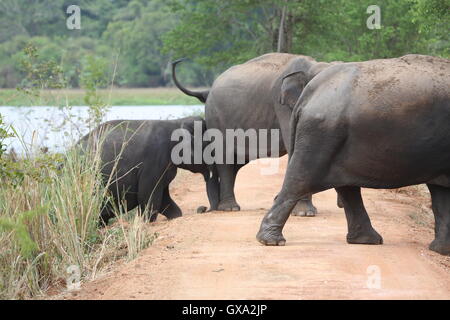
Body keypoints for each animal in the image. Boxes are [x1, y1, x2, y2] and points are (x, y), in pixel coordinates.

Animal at [79, 115, 220, 225]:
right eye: (210, 150)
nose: (203, 208)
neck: (176, 123)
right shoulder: (153, 163)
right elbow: (148, 199)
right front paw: (146, 223)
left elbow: (164, 201)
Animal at [171, 53, 340, 216]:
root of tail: (209, 90)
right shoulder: (283, 106)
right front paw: (304, 213)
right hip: (216, 117)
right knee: (224, 158)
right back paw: (229, 208)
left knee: (234, 163)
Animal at [256, 54, 450, 255]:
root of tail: (311, 92)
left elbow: (441, 194)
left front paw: (440, 251)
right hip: (322, 133)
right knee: (301, 179)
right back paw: (271, 241)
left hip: (334, 136)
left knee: (344, 186)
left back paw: (366, 240)